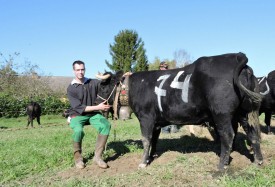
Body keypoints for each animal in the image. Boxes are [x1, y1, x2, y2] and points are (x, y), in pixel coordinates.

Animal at [96, 52, 264, 171]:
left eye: (103, 87)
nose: (97, 103)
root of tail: (237, 56)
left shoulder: (145, 117)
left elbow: (146, 139)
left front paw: (143, 163)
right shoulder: (156, 121)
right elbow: (154, 140)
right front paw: (151, 156)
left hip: (221, 113)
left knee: (228, 136)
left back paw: (222, 165)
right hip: (244, 112)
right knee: (252, 133)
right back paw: (258, 161)